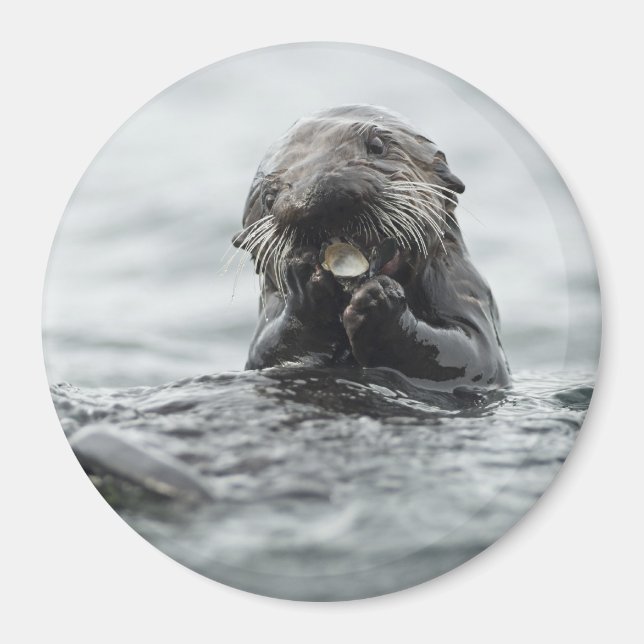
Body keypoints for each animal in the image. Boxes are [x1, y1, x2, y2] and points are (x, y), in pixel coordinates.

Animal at [231, 105, 510, 387]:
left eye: (377, 145)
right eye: (268, 197)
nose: (317, 194)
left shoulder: (464, 289)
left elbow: (473, 355)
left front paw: (380, 299)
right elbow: (269, 352)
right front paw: (305, 285)